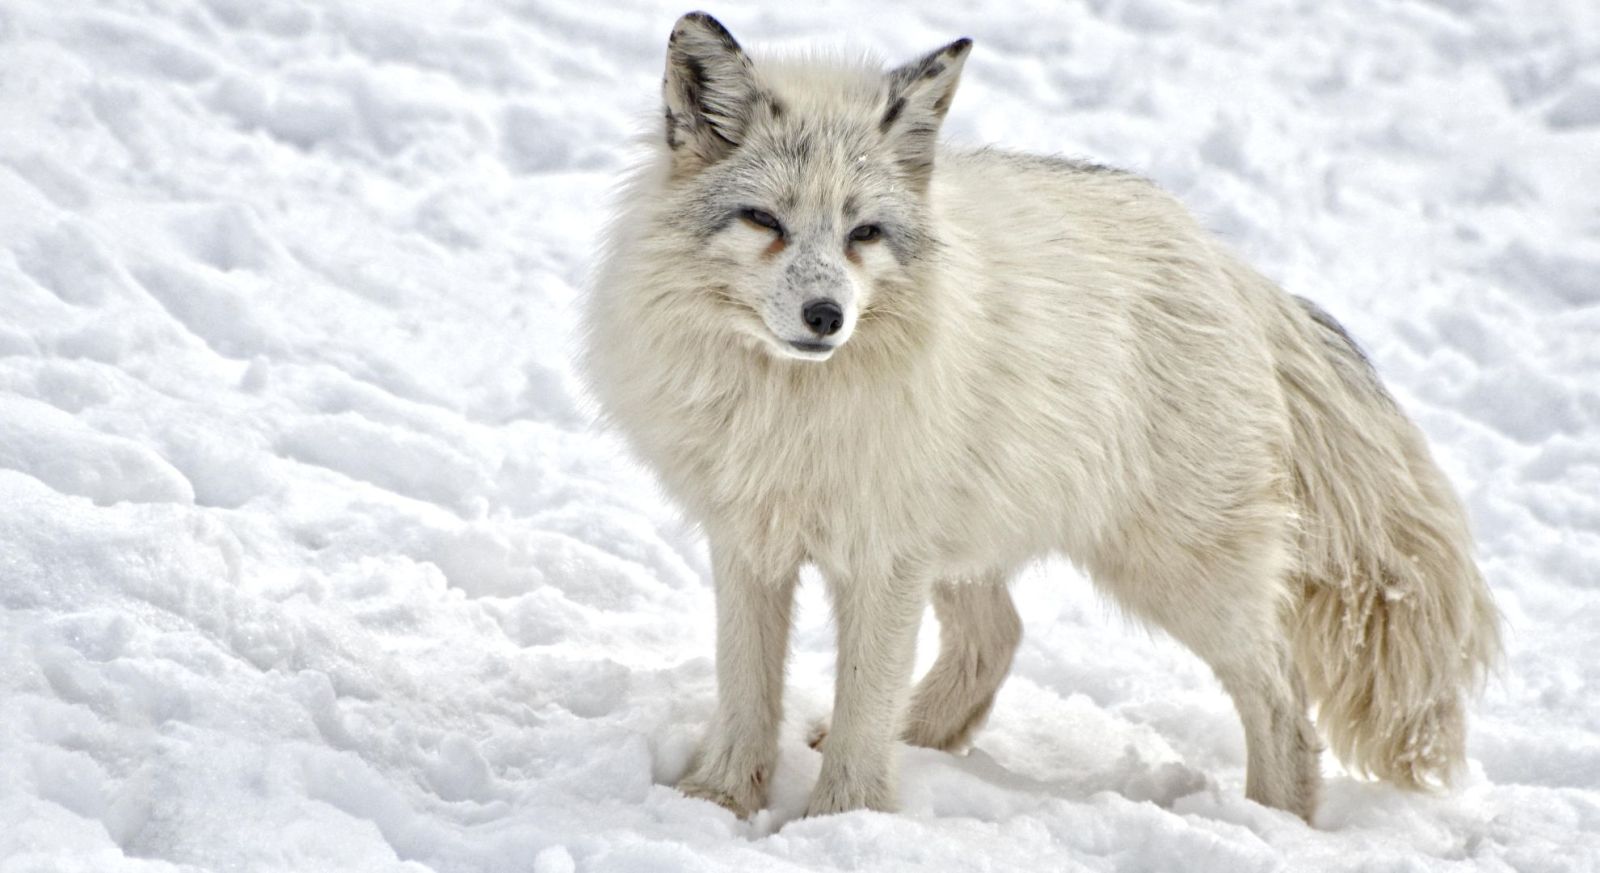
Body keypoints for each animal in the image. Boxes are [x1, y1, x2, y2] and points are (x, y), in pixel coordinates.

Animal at [582, 11, 1501, 822]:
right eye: (764, 221)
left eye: (863, 233)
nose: (826, 317)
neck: (790, 405)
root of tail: (1228, 264)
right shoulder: (751, 540)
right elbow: (748, 689)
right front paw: (718, 801)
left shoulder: (881, 558)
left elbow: (862, 705)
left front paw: (840, 822)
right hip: (973, 544)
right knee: (999, 636)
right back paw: (920, 739)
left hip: (1176, 571)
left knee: (1284, 706)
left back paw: (1271, 827)